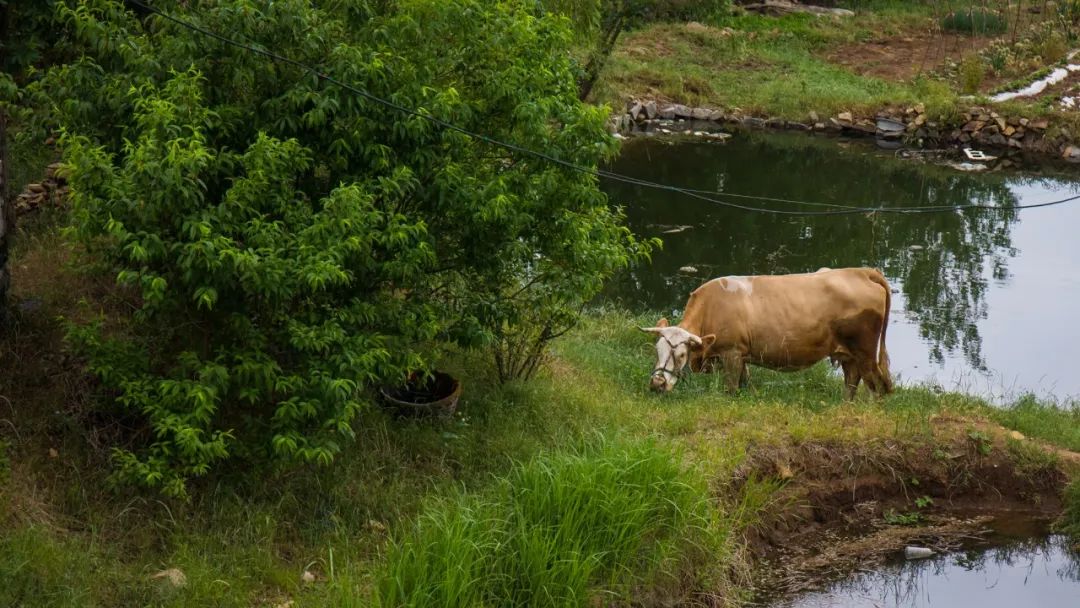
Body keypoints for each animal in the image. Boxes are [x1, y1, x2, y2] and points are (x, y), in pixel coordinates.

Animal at [639, 266, 894, 399]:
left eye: (681, 354)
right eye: (656, 350)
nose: (656, 384)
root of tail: (860, 271)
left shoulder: (732, 353)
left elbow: (732, 388)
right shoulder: (740, 356)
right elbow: (745, 383)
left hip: (865, 352)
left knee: (878, 385)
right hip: (848, 354)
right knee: (852, 381)